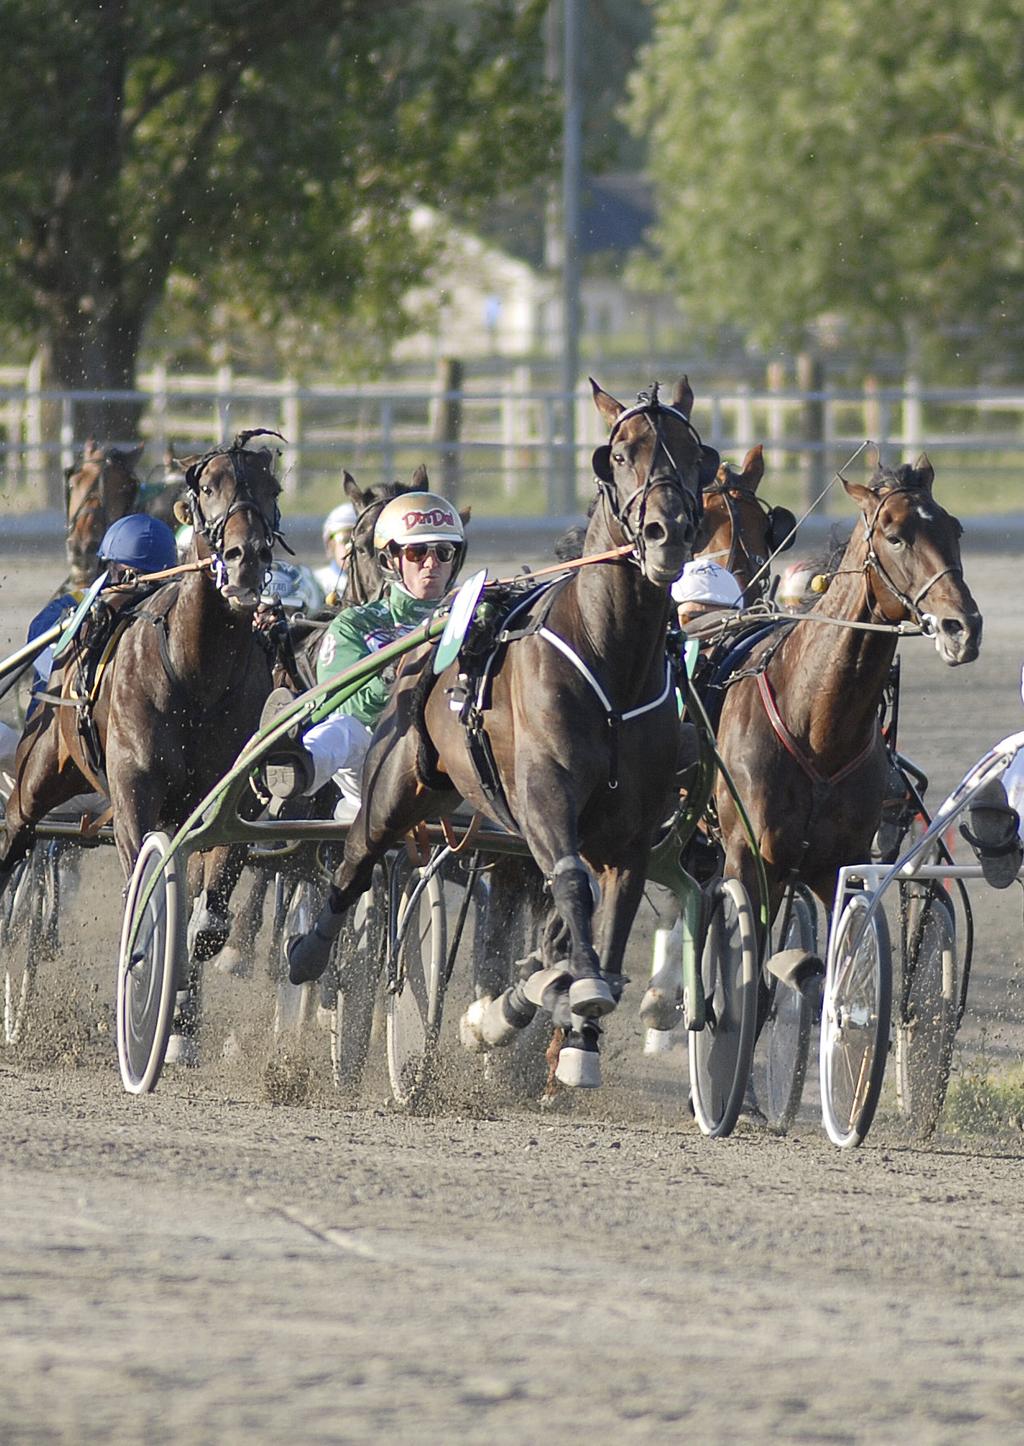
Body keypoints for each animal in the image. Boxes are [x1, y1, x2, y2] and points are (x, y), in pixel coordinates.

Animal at [1, 428, 283, 994]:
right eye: (209, 488)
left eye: (273, 490)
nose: (247, 555)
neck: (198, 673)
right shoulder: (135, 788)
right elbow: (142, 883)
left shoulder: (227, 797)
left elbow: (213, 895)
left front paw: (199, 945)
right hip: (41, 768)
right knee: (17, 825)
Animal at [286, 375, 720, 1087]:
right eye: (619, 454)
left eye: (695, 454)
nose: (669, 532)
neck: (611, 658)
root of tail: (420, 647)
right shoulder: (542, 797)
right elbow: (570, 885)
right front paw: (557, 999)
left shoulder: (630, 836)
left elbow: (602, 932)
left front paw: (571, 1030)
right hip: (396, 783)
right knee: (357, 854)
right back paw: (309, 953)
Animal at [717, 462, 977, 954]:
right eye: (895, 537)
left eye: (955, 528)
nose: (964, 627)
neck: (816, 731)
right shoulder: (748, 859)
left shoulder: (841, 864)